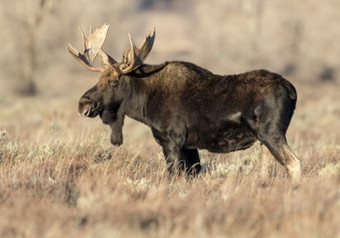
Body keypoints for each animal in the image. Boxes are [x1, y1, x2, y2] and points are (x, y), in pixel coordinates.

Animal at [67, 24, 302, 180]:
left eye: (114, 81)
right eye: (99, 79)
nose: (83, 104)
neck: (144, 103)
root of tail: (291, 89)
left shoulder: (171, 140)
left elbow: (175, 176)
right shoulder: (190, 145)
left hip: (271, 133)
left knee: (295, 164)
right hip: (264, 139)